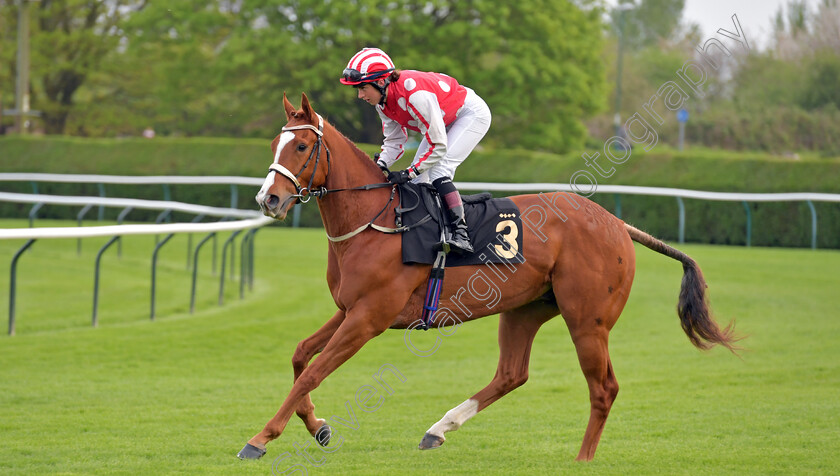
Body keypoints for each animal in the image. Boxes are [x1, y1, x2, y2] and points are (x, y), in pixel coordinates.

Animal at [241, 92, 736, 462]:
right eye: (274, 144)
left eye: (301, 147)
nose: (268, 199)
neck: (375, 219)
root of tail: (617, 223)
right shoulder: (349, 309)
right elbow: (300, 356)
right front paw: (318, 426)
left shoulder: (369, 318)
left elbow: (313, 372)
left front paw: (261, 438)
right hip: (526, 309)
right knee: (512, 374)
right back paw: (438, 429)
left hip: (588, 320)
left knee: (604, 388)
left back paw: (582, 459)